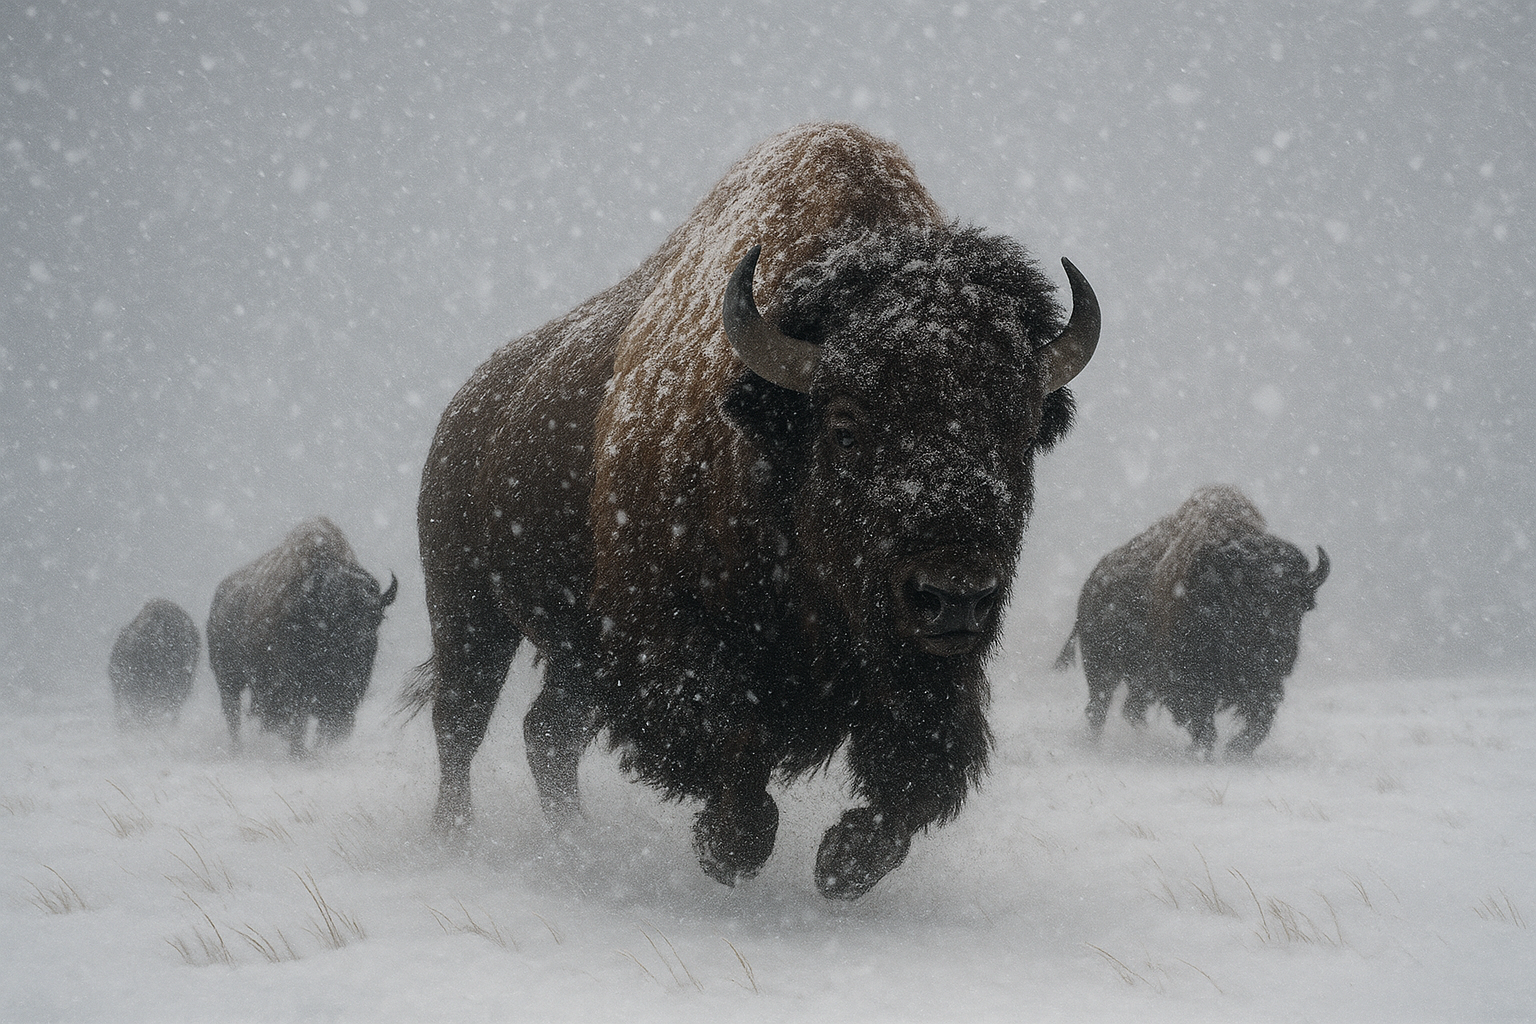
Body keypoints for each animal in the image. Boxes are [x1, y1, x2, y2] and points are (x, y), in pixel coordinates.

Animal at [208, 517, 397, 756]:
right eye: (335, 617)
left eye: (376, 618)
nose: (359, 646)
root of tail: (219, 600)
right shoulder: (297, 686)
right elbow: (299, 720)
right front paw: (298, 753)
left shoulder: (345, 694)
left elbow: (326, 726)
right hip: (228, 679)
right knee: (234, 715)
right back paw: (238, 749)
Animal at [412, 122, 1100, 899]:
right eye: (844, 423)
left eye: (1021, 429)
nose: (954, 595)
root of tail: (464, 412)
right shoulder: (674, 650)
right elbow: (739, 769)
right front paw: (725, 849)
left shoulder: (931, 677)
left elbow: (911, 787)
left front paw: (839, 863)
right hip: (467, 608)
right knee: (462, 722)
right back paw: (455, 840)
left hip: (573, 651)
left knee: (546, 733)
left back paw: (574, 842)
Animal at [1055, 485, 1329, 758]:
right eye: (1249, 601)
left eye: (1299, 606)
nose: (1279, 655)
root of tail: (1091, 584)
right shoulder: (1187, 681)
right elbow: (1201, 722)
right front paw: (1203, 753)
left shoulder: (1263, 687)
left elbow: (1259, 721)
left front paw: (1235, 751)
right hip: (1102, 666)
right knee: (1099, 707)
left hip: (1138, 678)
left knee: (1131, 708)